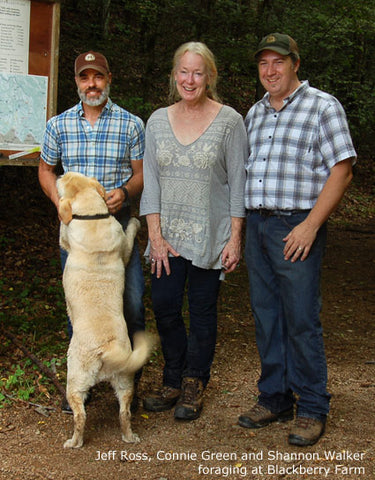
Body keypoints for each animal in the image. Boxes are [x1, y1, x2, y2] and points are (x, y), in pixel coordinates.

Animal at [56, 172, 153, 450]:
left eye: (65, 179)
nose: (59, 174)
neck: (92, 216)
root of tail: (107, 348)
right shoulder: (123, 245)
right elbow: (128, 234)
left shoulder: (65, 235)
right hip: (125, 383)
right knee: (125, 413)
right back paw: (129, 436)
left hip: (75, 380)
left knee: (80, 416)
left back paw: (74, 442)